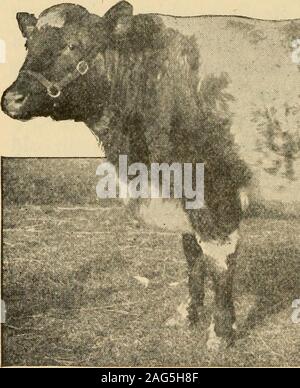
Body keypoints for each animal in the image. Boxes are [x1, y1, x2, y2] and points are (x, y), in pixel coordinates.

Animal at [0, 0, 253, 352]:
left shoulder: (213, 189)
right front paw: (186, 314)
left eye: (72, 45)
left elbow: (218, 259)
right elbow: (192, 253)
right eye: (28, 44)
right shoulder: (181, 194)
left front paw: (220, 333)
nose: (12, 99)